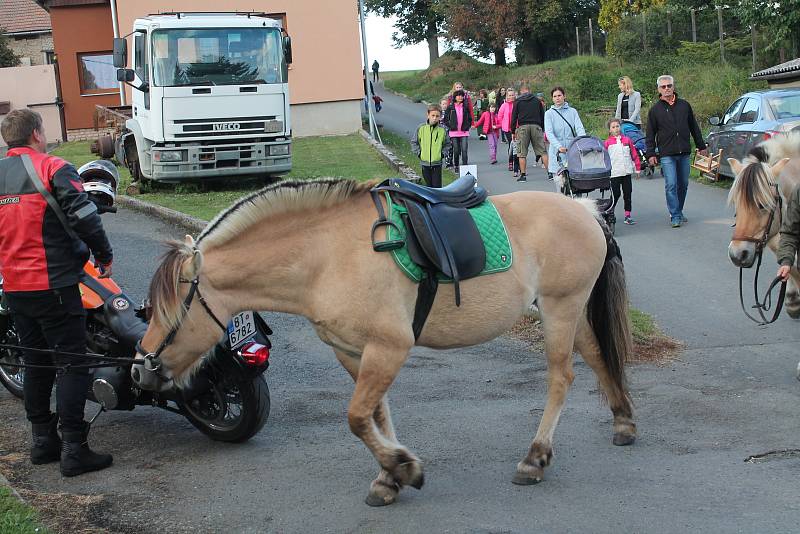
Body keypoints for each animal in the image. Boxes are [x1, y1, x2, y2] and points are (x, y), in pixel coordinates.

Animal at [134, 179, 636, 506]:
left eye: (169, 309)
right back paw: (623, 422)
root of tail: (586, 211)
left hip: (559, 310)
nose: (141, 368)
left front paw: (404, 468)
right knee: (596, 358)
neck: (326, 256)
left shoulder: (389, 348)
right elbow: (375, 414)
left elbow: (357, 417)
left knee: (561, 377)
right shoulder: (353, 352)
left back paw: (534, 459)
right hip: (570, 312)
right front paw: (389, 476)